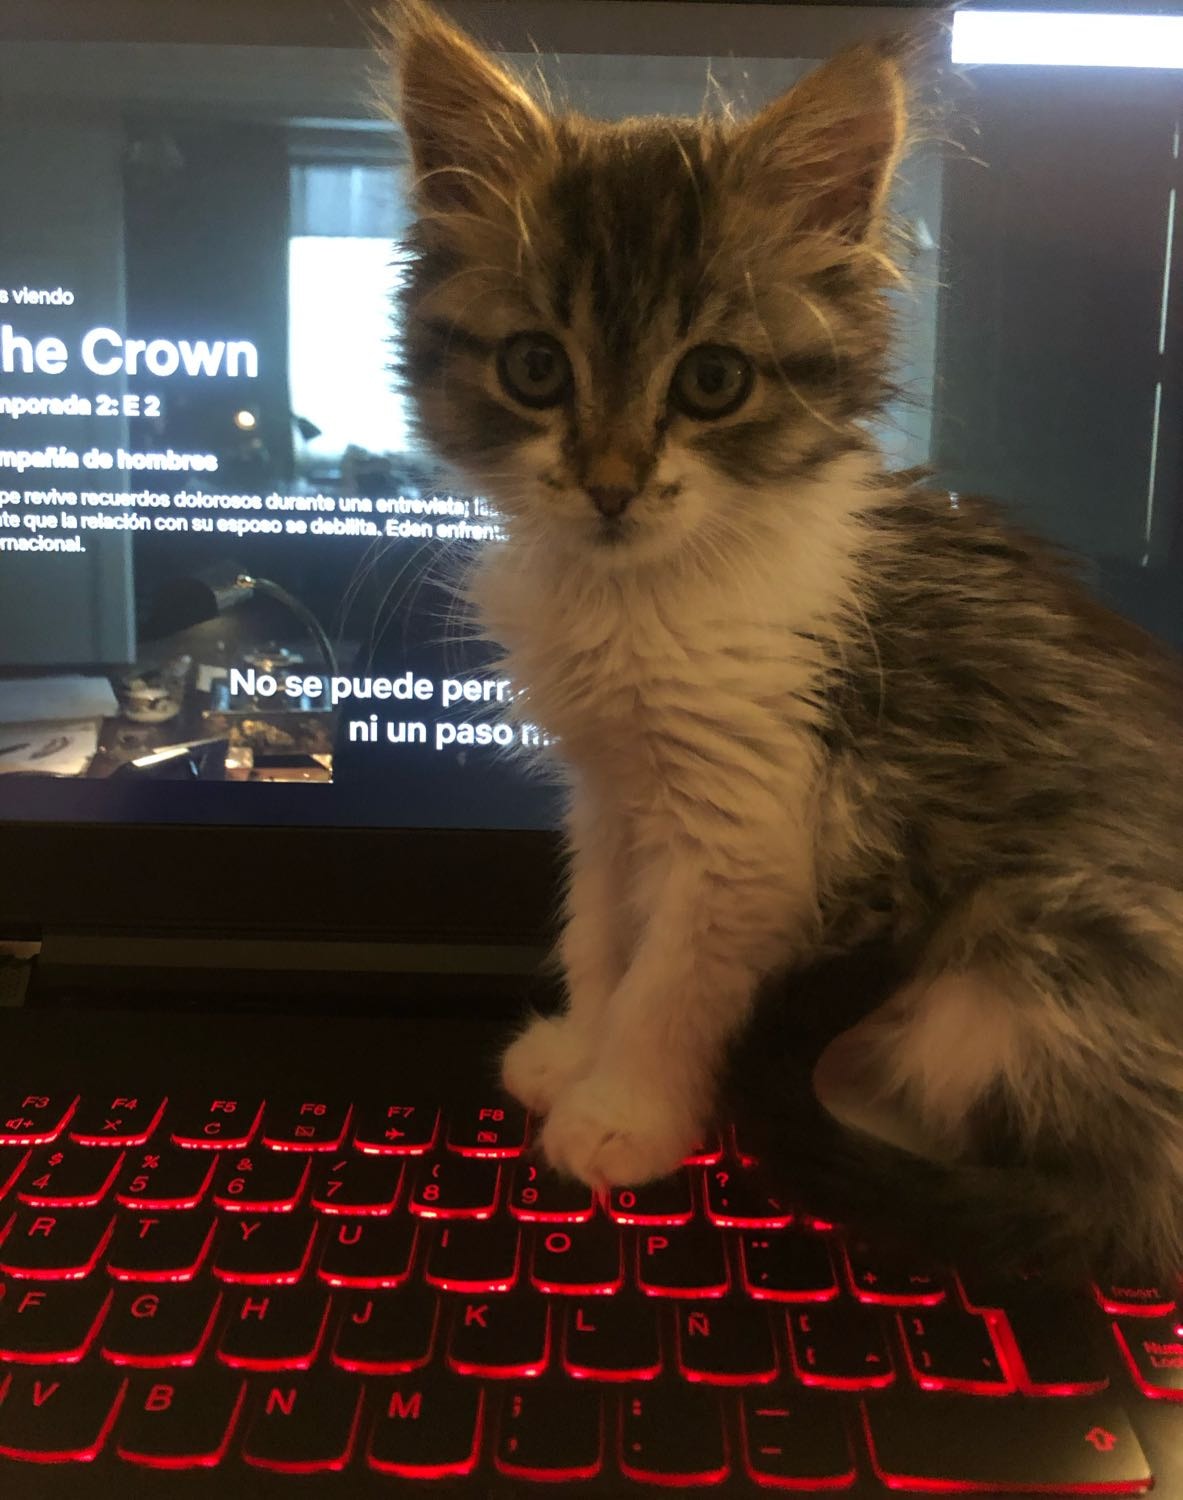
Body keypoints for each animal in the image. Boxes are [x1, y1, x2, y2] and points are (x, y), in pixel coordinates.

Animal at [385, 0, 1183, 1277]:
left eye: (712, 381)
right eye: (535, 368)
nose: (610, 486)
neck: (638, 592)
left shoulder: (751, 831)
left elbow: (668, 984)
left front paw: (623, 1114)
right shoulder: (609, 798)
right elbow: (600, 930)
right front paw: (575, 1053)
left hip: (1019, 963)